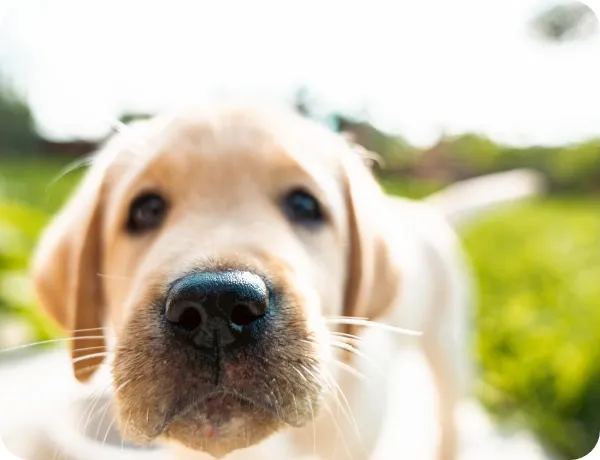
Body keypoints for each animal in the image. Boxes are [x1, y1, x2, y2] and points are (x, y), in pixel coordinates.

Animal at [31, 105, 542, 460]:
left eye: (304, 205)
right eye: (145, 210)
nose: (216, 306)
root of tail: (424, 211)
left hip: (450, 347)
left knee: (450, 414)